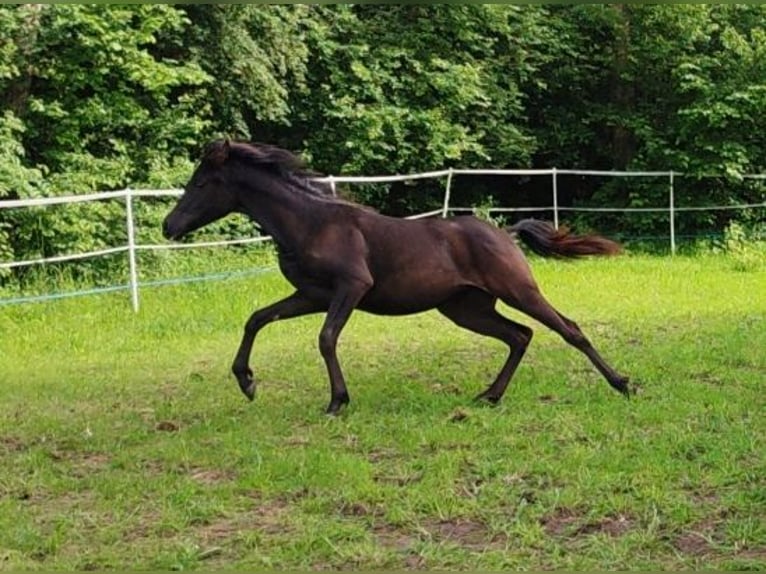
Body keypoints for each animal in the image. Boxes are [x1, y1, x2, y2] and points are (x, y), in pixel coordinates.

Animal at [162, 142, 632, 416]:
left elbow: (326, 338)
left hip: (517, 290)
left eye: (201, 183)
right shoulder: (311, 295)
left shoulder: (351, 288)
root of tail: (505, 233)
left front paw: (336, 401)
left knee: (566, 328)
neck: (310, 223)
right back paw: (489, 396)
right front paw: (247, 382)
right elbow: (257, 318)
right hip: (465, 308)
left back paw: (622, 384)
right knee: (519, 336)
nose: (168, 226)